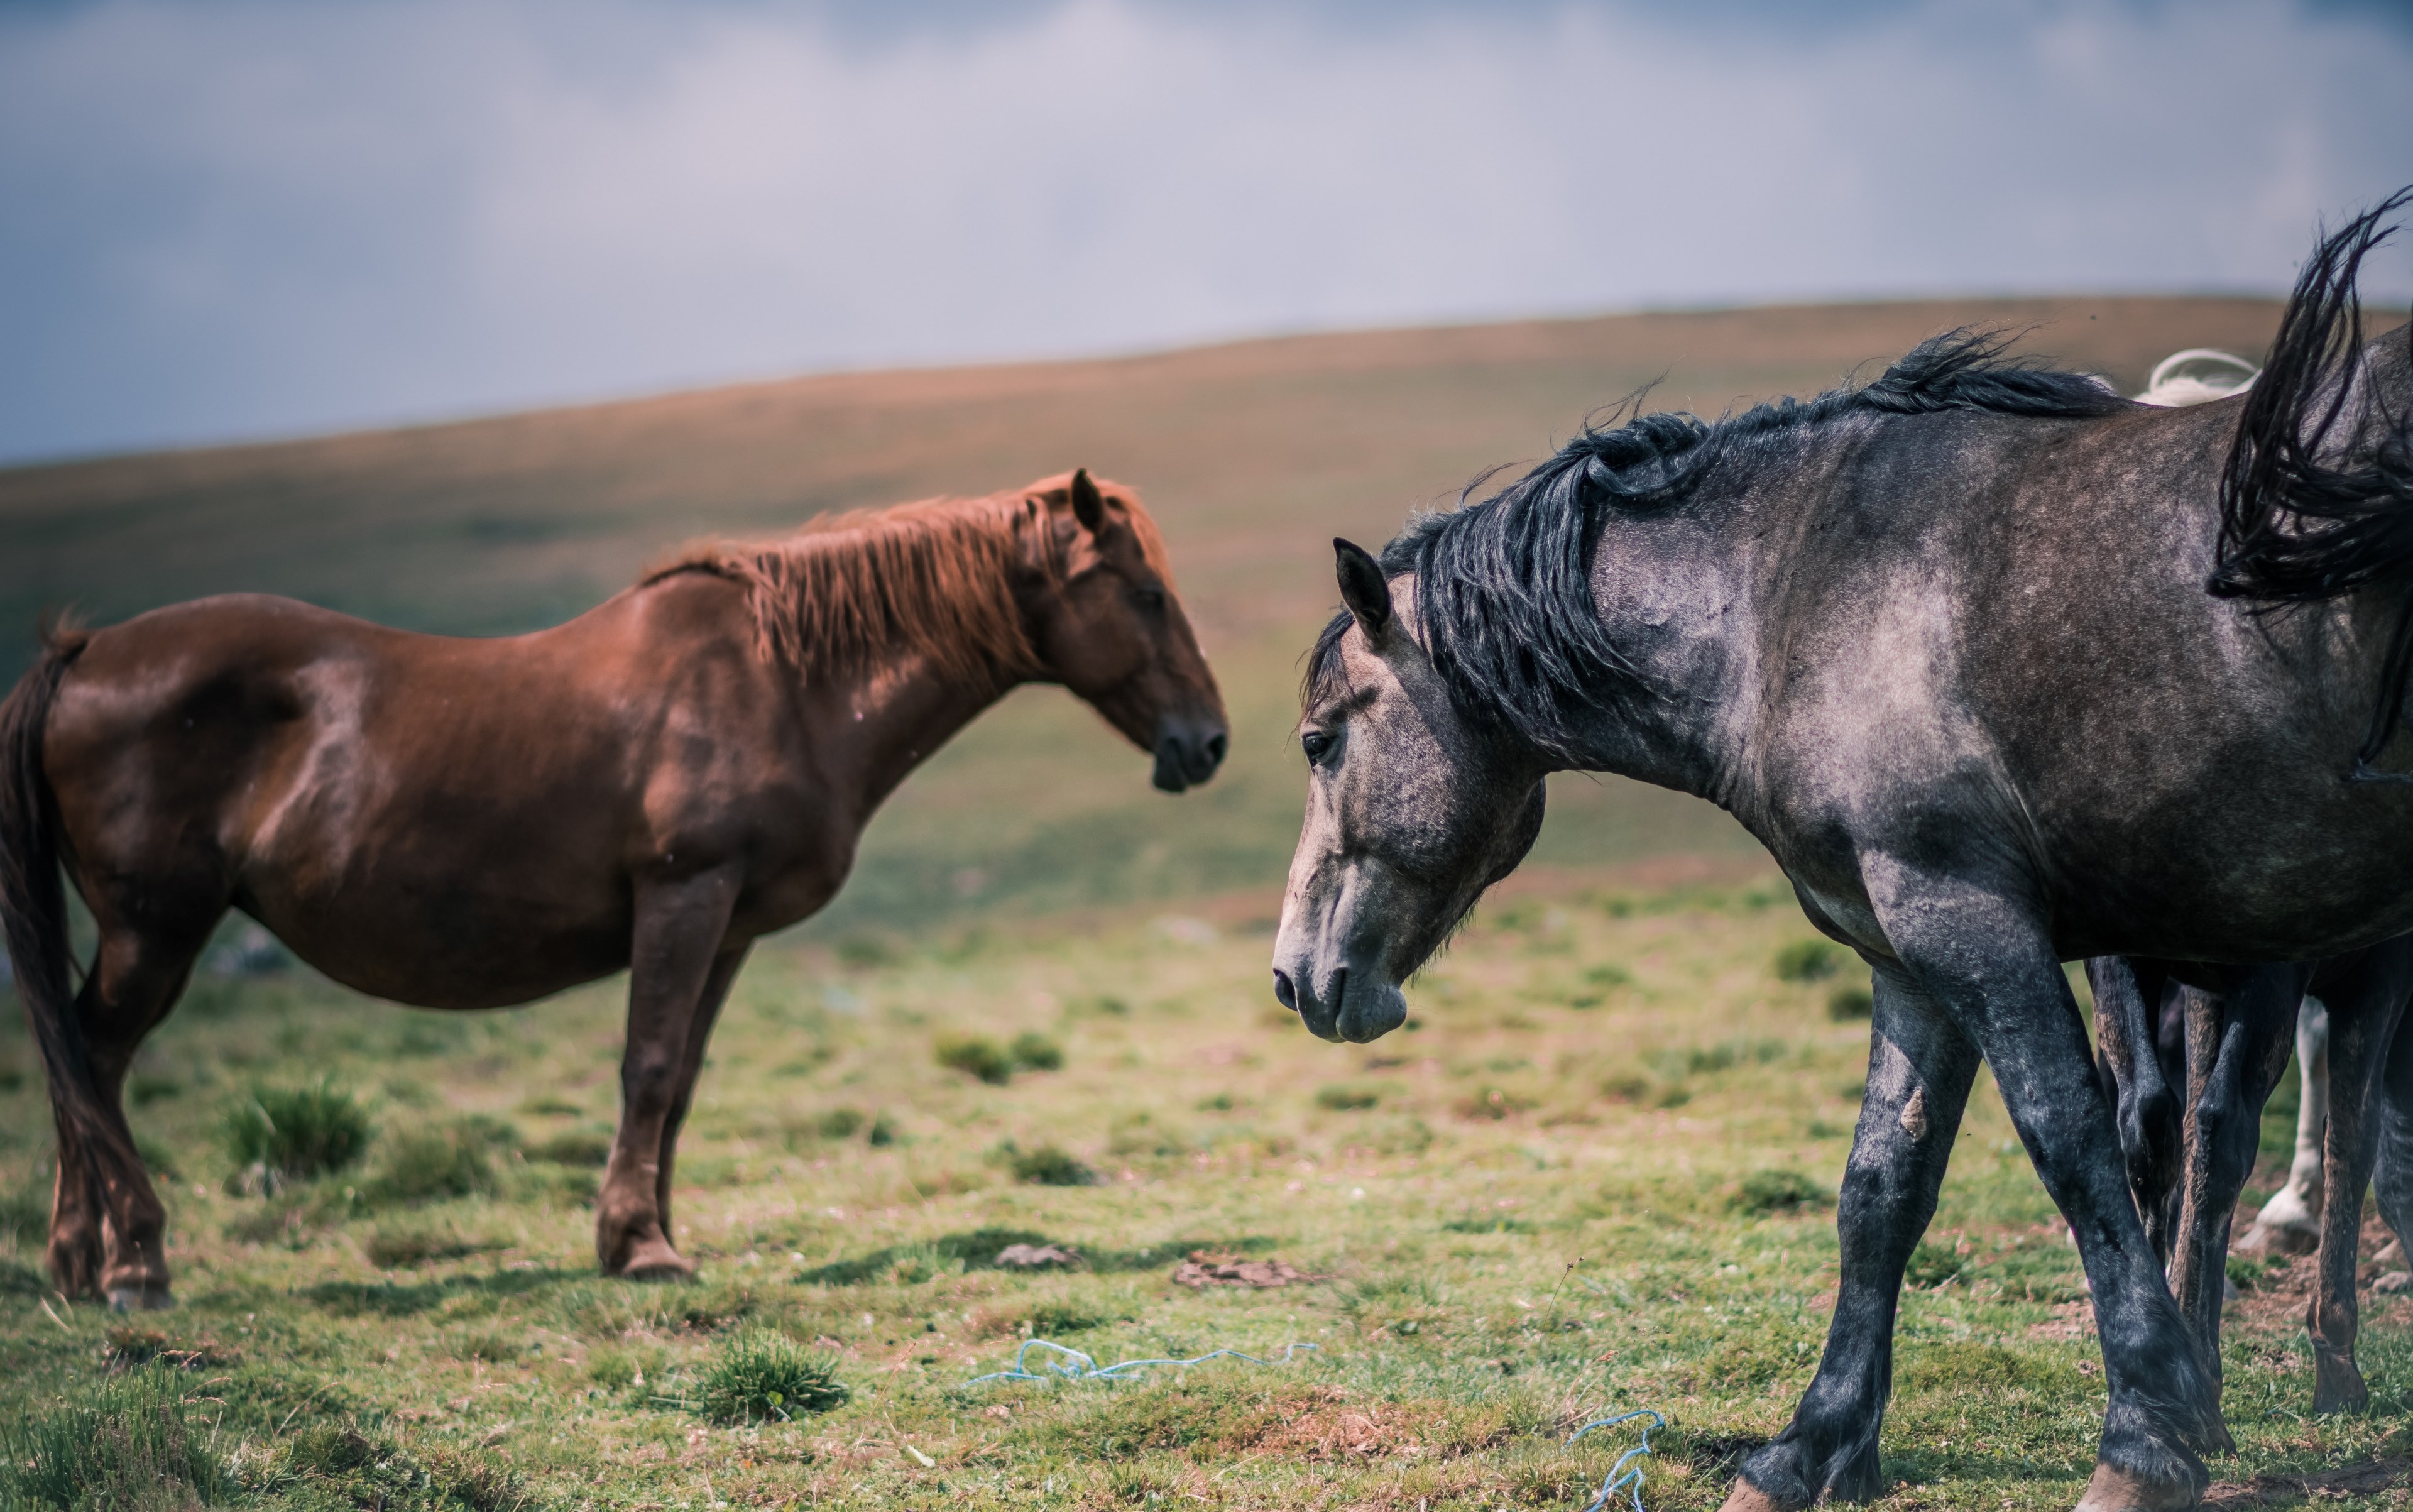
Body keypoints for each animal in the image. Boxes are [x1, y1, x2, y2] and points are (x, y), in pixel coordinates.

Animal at [0, 468, 1227, 1309]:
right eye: (1145, 593)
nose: (1208, 742)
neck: (783, 681)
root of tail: (86, 652)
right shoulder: (684, 897)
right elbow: (646, 1065)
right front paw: (641, 1247)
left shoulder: (729, 928)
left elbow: (679, 1081)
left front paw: (648, 1231)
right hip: (157, 930)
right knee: (94, 1062)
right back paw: (135, 1264)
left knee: (82, 1061)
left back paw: (74, 1264)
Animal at [1272, 192, 2413, 1512]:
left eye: (1318, 741)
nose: (1295, 977)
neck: (1793, 592)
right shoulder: (1910, 954)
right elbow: (1882, 1189)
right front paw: (1811, 1447)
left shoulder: (1968, 921)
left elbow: (2071, 1149)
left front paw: (2146, 1437)